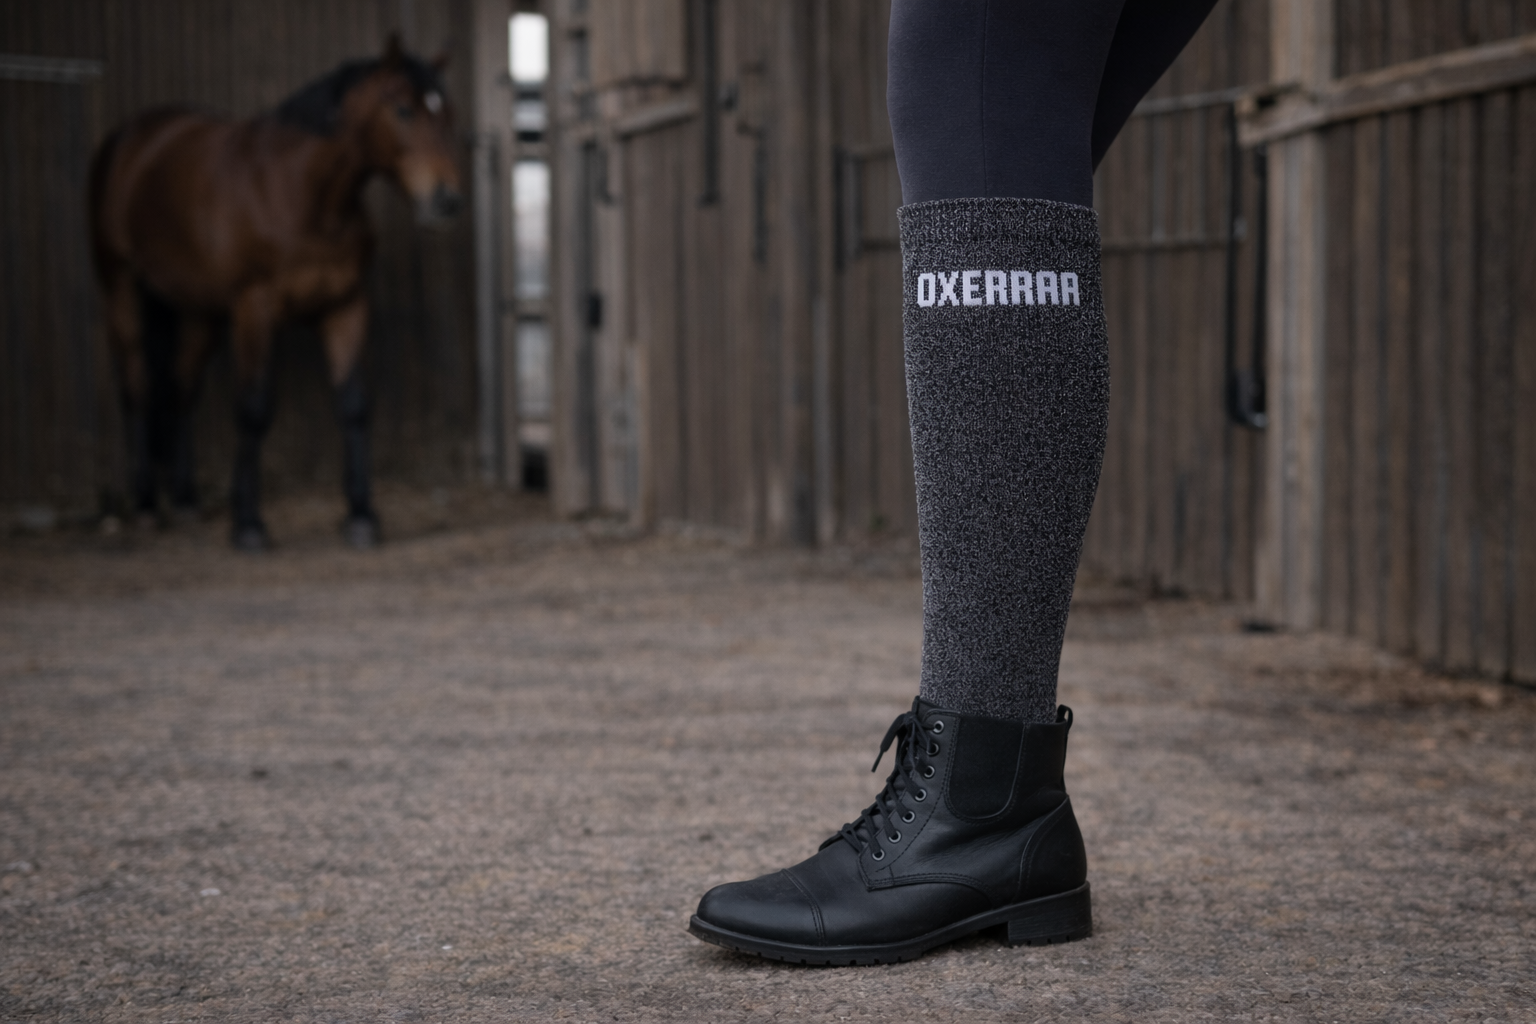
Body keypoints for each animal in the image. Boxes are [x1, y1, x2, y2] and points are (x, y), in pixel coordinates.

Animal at [89, 36, 462, 550]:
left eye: (448, 112)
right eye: (404, 109)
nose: (446, 199)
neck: (300, 191)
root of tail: (131, 138)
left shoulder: (345, 306)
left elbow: (353, 403)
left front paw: (361, 516)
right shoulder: (255, 308)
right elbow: (254, 407)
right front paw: (248, 525)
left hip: (199, 311)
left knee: (182, 387)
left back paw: (184, 501)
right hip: (121, 287)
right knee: (137, 385)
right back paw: (146, 505)